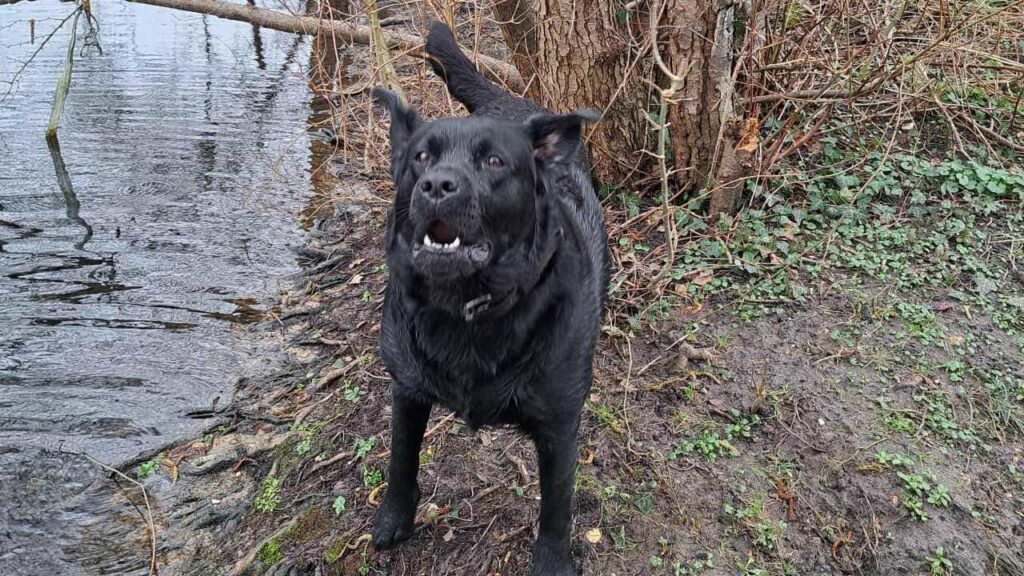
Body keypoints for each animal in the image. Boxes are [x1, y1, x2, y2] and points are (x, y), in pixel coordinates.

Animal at [370, 20, 602, 569]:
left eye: (495, 161)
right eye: (421, 157)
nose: (437, 185)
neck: (466, 307)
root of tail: (507, 102)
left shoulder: (561, 421)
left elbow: (557, 506)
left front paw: (552, 566)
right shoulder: (405, 388)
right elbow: (400, 459)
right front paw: (394, 519)